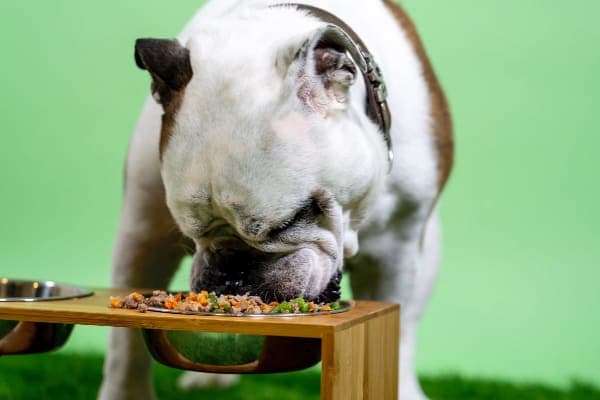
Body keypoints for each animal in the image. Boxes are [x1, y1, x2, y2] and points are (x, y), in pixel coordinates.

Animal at [101, 0, 452, 400]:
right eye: (190, 233)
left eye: (291, 221)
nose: (233, 269)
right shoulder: (142, 232)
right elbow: (124, 344)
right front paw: (124, 393)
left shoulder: (396, 250)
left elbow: (399, 326)